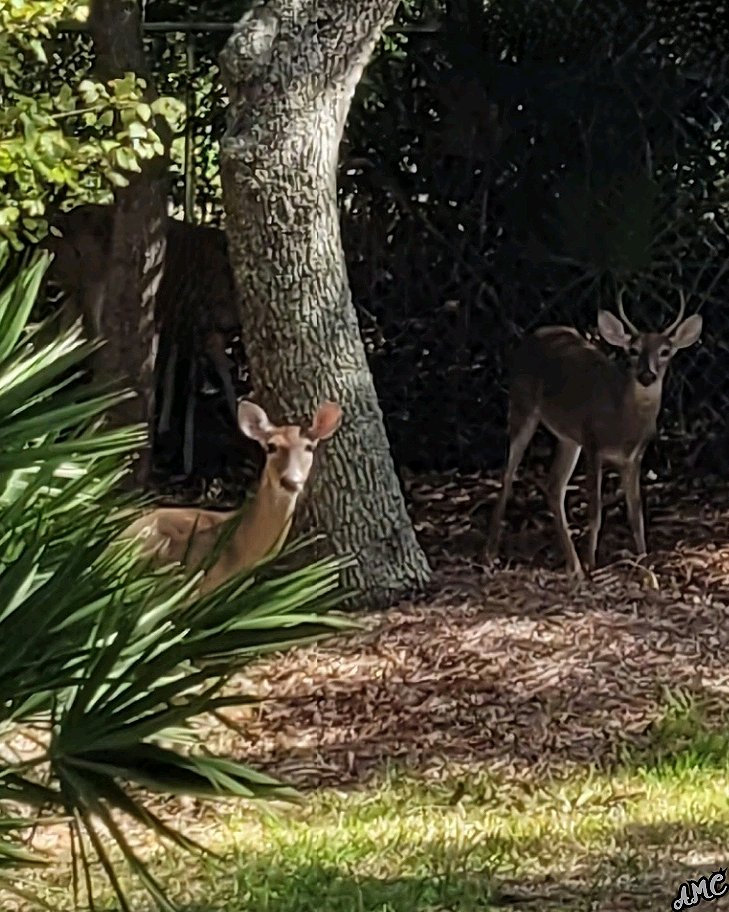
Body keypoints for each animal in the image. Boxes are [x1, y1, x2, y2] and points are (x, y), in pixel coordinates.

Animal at [485, 290, 702, 578]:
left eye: (665, 351)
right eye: (633, 350)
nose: (647, 375)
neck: (623, 423)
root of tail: (535, 334)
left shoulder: (633, 458)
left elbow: (636, 513)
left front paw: (644, 560)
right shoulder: (593, 443)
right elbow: (595, 510)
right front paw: (592, 563)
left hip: (568, 437)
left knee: (554, 486)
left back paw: (573, 564)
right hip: (522, 406)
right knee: (508, 475)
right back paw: (491, 554)